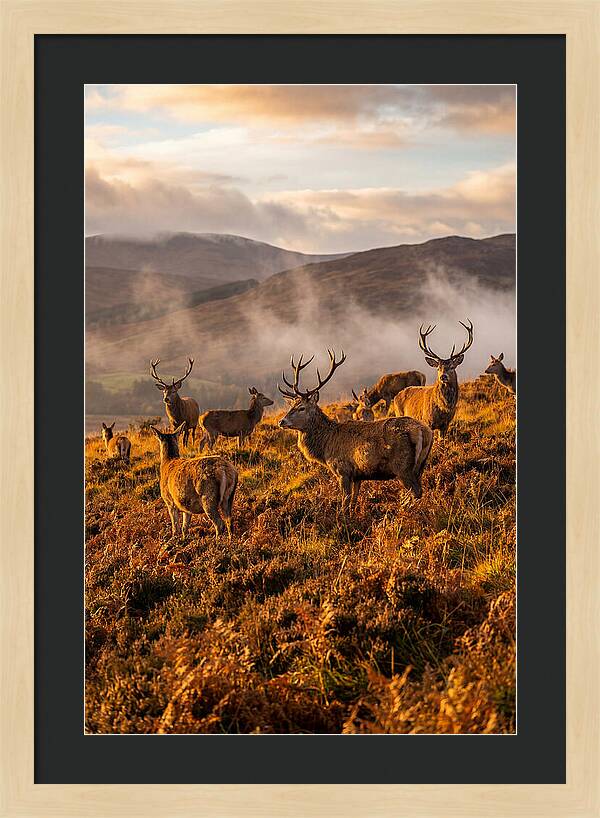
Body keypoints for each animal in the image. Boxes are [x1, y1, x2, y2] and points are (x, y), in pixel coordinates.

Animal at [278, 350, 434, 516]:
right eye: (291, 406)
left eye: (301, 408)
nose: (281, 421)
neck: (325, 446)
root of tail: (424, 431)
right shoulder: (358, 475)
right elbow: (354, 500)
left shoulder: (342, 470)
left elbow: (345, 502)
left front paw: (343, 518)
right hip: (421, 464)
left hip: (402, 467)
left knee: (416, 491)